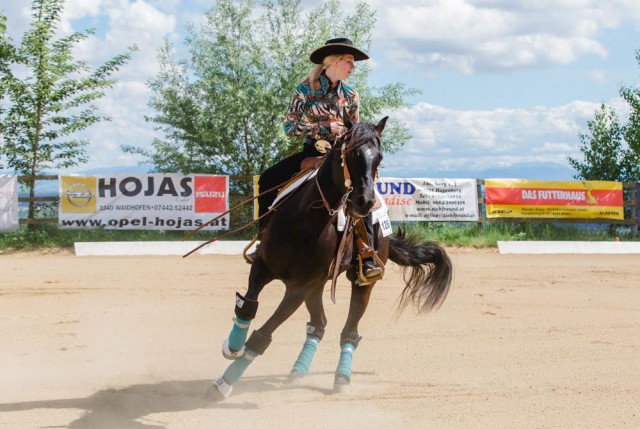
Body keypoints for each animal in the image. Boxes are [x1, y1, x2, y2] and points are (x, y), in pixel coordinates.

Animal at [208, 116, 452, 398]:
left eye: (379, 157)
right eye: (350, 153)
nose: (364, 201)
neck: (304, 222)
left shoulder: (298, 288)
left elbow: (263, 335)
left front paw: (225, 382)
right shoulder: (262, 266)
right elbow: (248, 305)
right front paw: (231, 347)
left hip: (359, 284)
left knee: (349, 331)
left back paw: (342, 377)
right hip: (316, 285)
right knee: (319, 324)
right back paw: (296, 373)